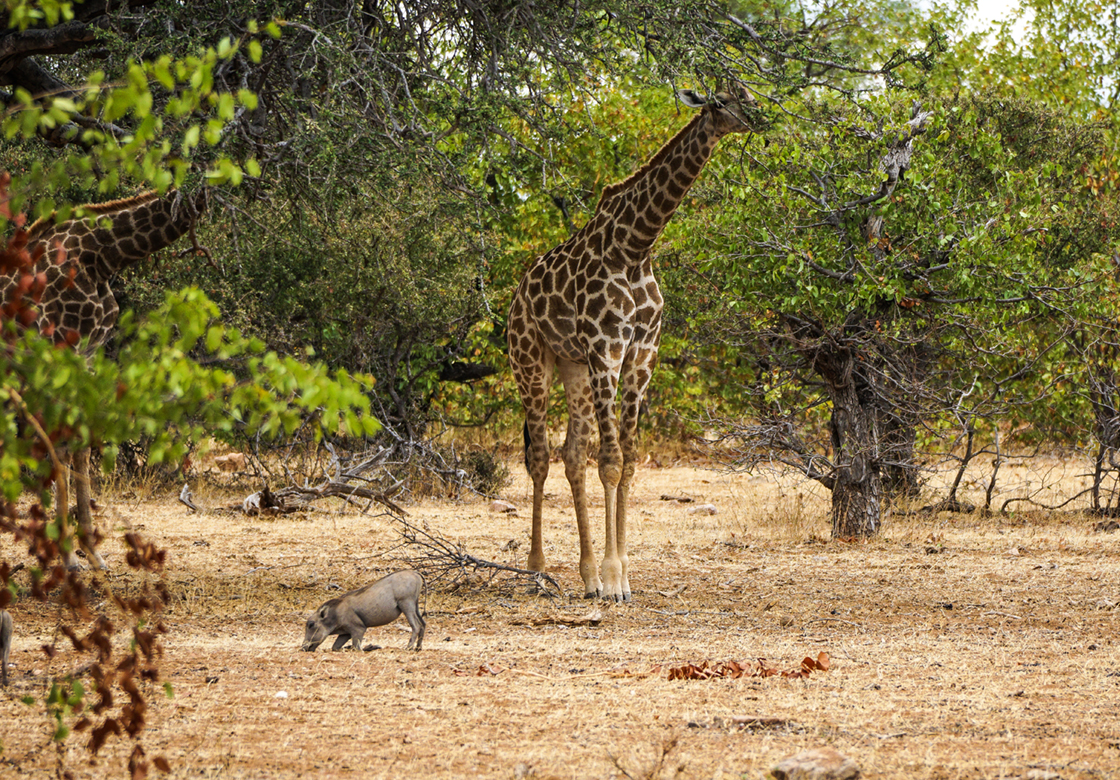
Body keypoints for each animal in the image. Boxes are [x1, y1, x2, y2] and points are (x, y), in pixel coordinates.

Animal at [0, 189, 208, 567]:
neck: (104, 255)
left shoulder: (88, 355)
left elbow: (81, 445)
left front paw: (91, 550)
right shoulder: (58, 353)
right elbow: (61, 449)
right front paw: (68, 556)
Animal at [508, 85, 761, 600]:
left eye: (747, 92)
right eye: (721, 102)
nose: (758, 117)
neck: (635, 245)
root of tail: (516, 295)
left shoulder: (643, 352)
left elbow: (627, 461)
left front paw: (619, 572)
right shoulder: (607, 346)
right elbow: (610, 460)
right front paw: (612, 580)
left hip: (572, 366)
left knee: (571, 456)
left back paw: (584, 575)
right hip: (530, 362)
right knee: (540, 458)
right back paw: (538, 569)